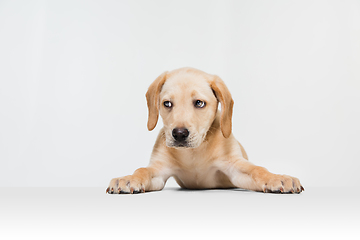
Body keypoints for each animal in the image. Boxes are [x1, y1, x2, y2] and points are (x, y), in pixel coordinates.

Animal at [106, 66, 304, 194]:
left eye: (199, 103)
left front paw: (276, 177)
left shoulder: (234, 168)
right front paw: (129, 178)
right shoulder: (158, 170)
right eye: (167, 104)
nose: (179, 134)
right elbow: (143, 170)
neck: (194, 153)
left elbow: (258, 170)